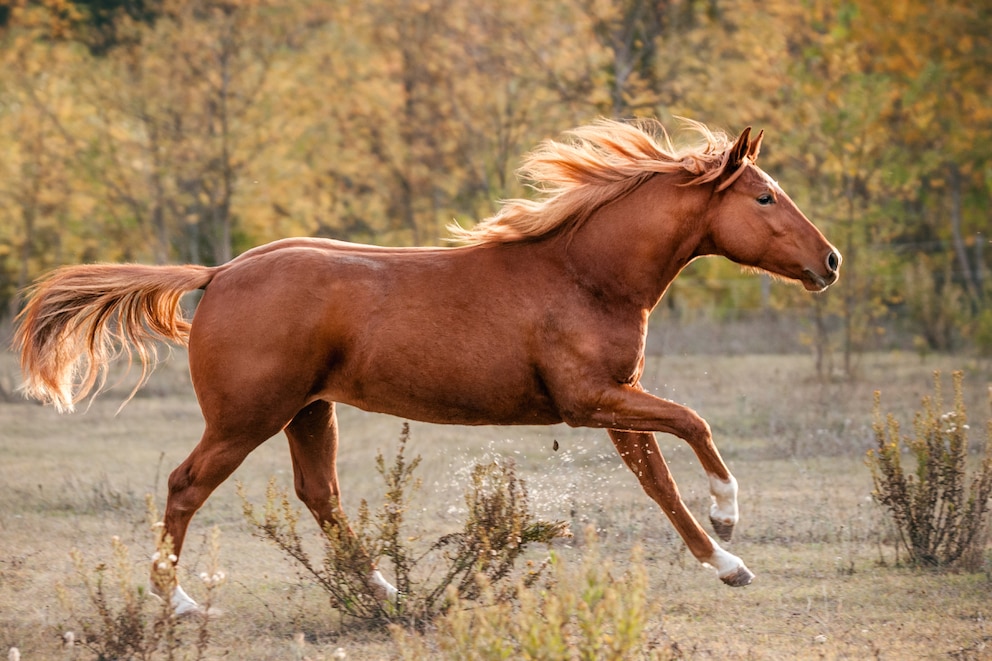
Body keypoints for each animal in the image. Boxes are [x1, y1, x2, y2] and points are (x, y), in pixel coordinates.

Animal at [13, 117, 836, 612]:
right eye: (765, 197)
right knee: (188, 485)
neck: (584, 274)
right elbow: (693, 425)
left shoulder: (614, 399)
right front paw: (729, 516)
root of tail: (217, 274)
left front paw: (726, 562)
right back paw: (179, 601)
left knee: (320, 494)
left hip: (310, 412)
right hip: (247, 417)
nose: (829, 261)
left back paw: (384, 589)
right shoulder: (591, 399)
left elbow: (658, 482)